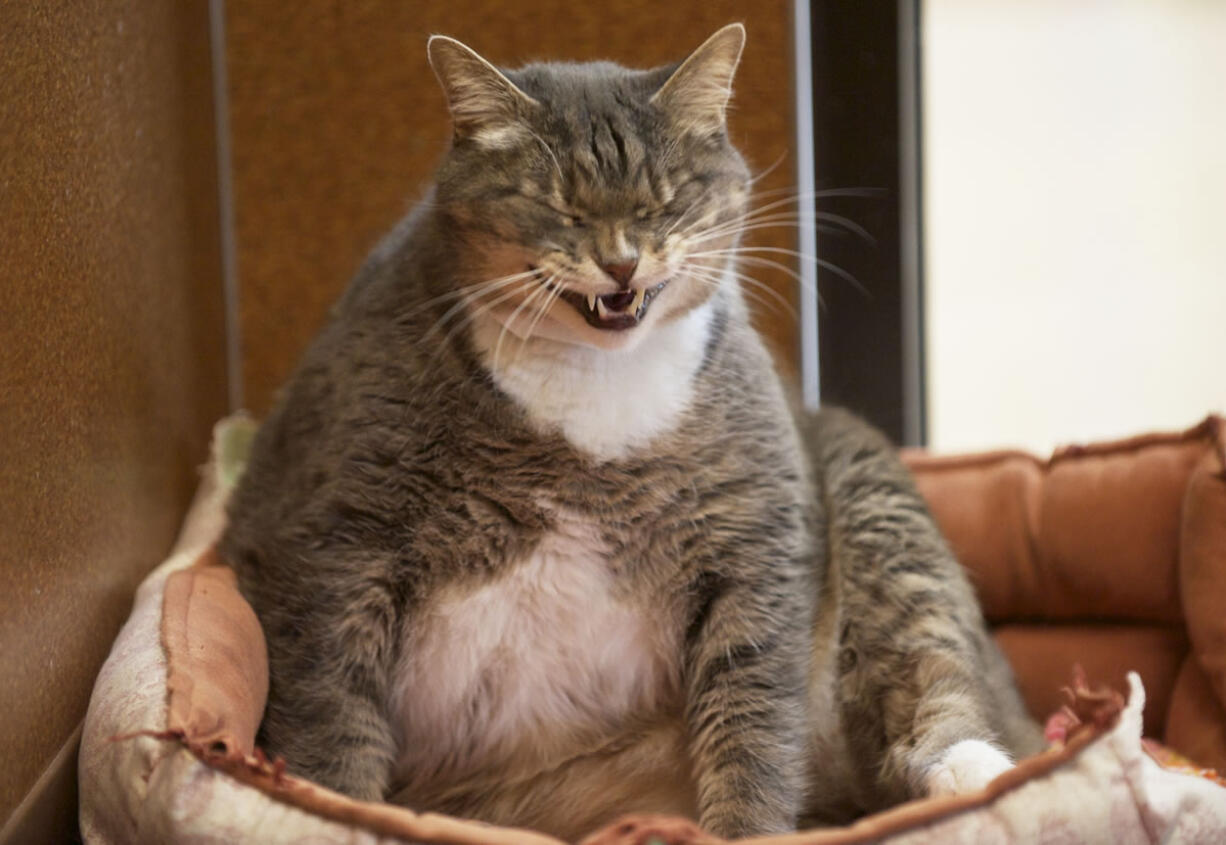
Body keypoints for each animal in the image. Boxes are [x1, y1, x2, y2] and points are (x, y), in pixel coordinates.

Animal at [218, 24, 1034, 838]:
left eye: (665, 201)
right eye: (558, 206)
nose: (620, 263)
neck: (595, 383)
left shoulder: (753, 545)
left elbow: (753, 727)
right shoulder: (336, 549)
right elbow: (333, 726)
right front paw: (335, 811)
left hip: (872, 499)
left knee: (932, 669)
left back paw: (980, 773)